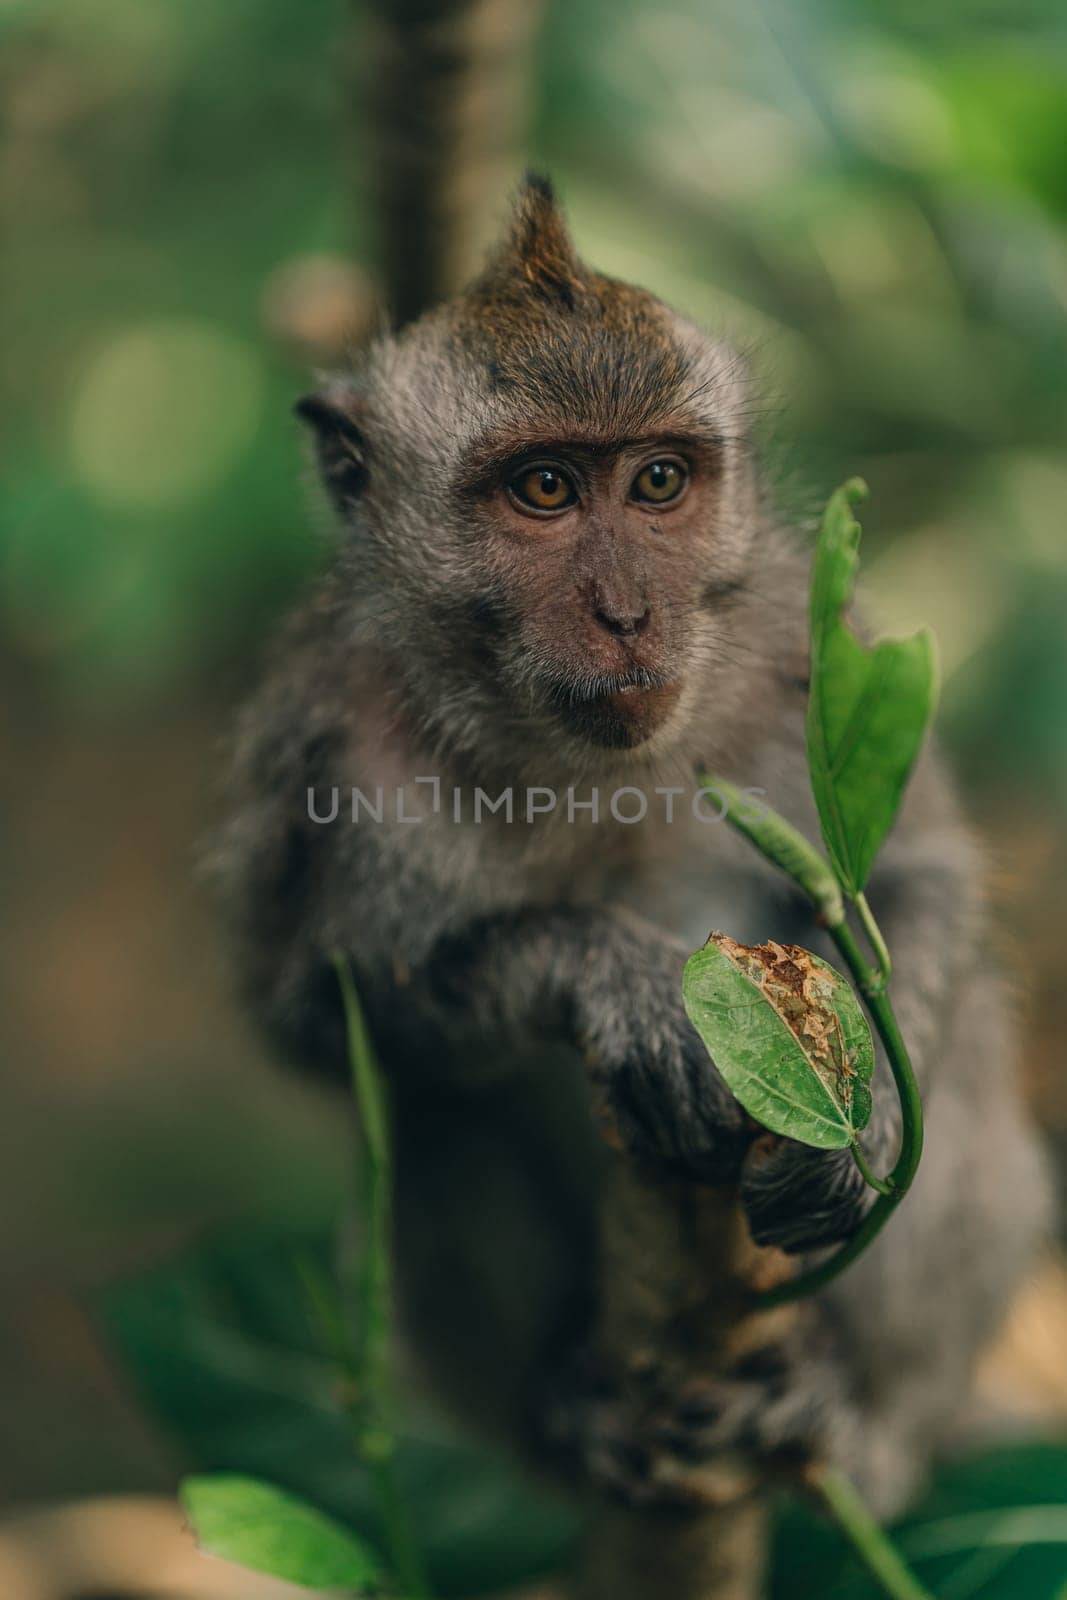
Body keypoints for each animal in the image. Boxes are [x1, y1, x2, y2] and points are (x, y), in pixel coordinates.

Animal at [211, 178, 1049, 1523]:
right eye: (545, 489)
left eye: (657, 479)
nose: (626, 614)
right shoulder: (322, 743)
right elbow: (308, 1017)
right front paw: (607, 973)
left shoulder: (805, 651)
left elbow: (914, 886)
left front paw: (863, 1114)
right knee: (439, 1114)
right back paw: (569, 1405)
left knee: (962, 1052)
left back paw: (855, 1412)